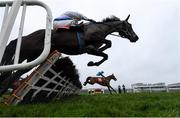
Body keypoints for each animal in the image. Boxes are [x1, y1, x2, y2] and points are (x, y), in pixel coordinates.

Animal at [0, 14, 139, 96]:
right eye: (129, 25)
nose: (136, 38)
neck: (99, 28)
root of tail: (24, 37)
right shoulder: (90, 44)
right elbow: (107, 48)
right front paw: (92, 63)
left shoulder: (92, 49)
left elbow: (106, 49)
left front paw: (92, 62)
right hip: (25, 55)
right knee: (10, 73)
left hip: (32, 58)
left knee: (14, 74)